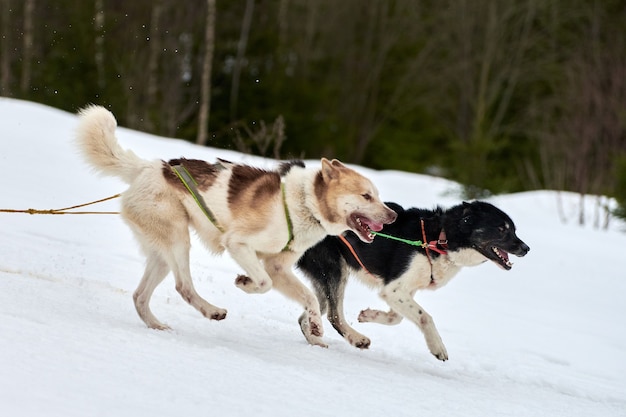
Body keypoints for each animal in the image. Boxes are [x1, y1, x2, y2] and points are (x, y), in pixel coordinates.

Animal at [296, 200, 528, 360]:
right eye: (501, 229)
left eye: (514, 230)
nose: (526, 248)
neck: (441, 238)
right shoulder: (394, 290)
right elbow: (425, 317)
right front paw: (437, 346)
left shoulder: (401, 291)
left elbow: (395, 318)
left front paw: (369, 315)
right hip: (335, 272)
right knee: (334, 315)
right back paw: (357, 339)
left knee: (306, 316)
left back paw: (316, 342)